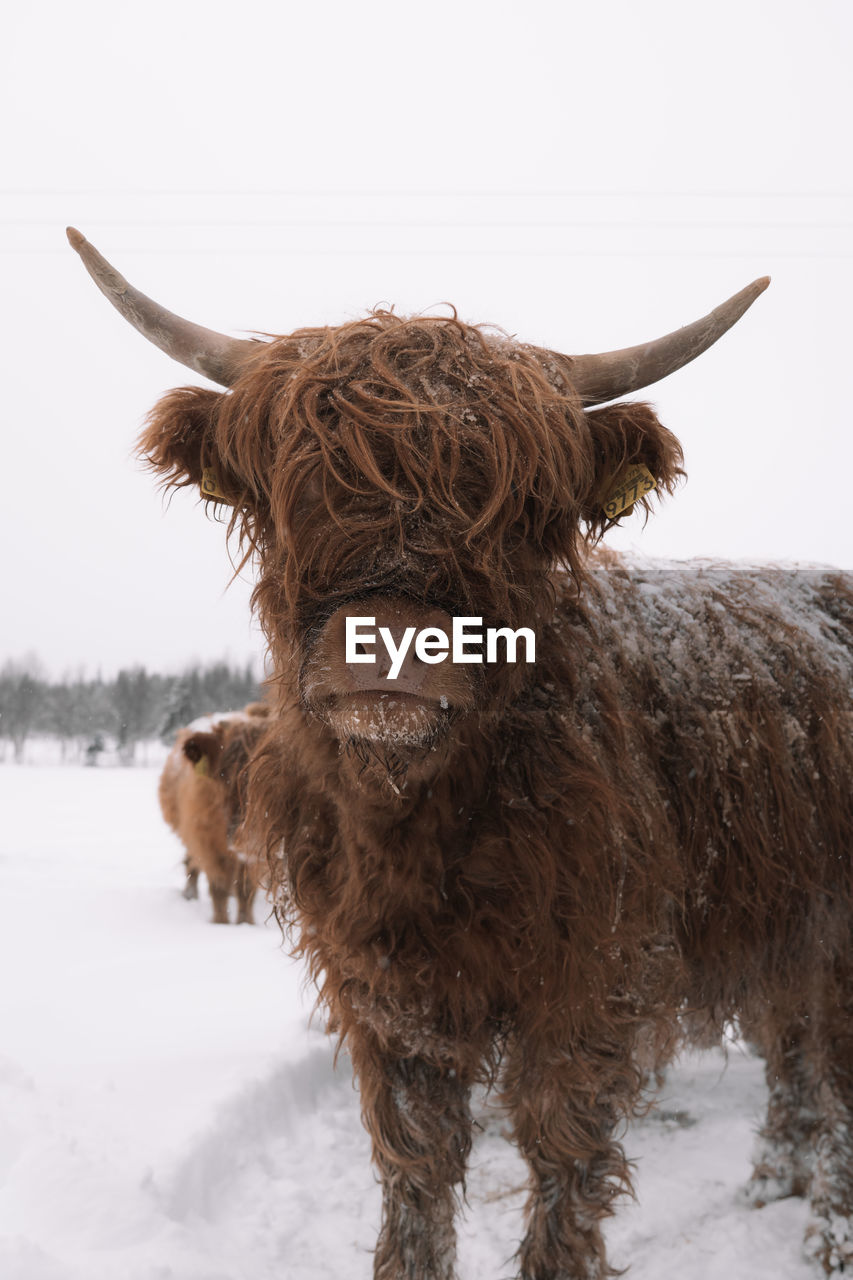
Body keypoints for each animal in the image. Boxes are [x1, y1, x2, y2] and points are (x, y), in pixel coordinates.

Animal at [156, 706, 267, 926]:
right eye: (224, 773)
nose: (247, 833)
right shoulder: (206, 841)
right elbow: (219, 887)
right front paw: (221, 923)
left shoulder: (257, 851)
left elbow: (246, 889)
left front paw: (246, 924)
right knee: (191, 863)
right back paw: (189, 895)